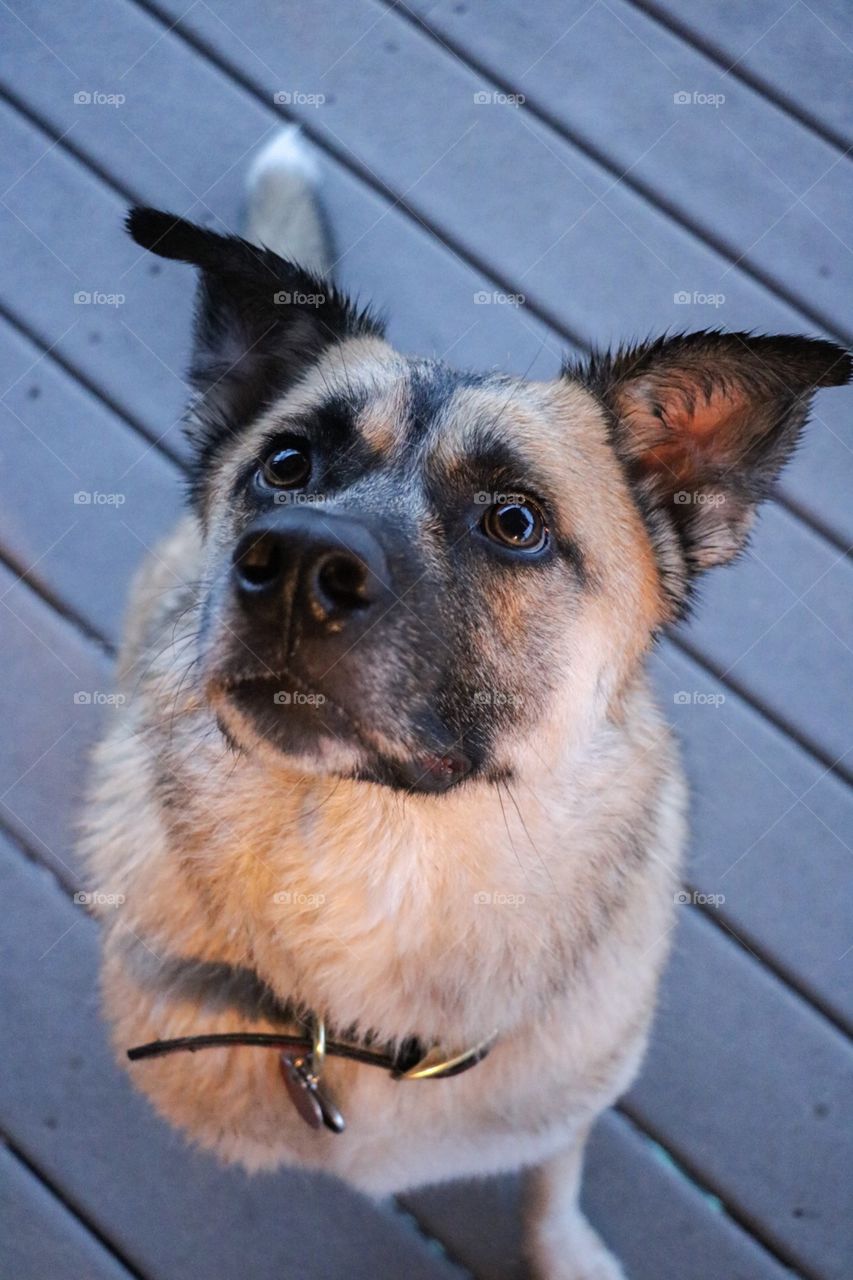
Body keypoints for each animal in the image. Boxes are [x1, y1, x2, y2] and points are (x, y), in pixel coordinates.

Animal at [78, 122, 845, 1280]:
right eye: (287, 462)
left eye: (514, 521)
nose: (294, 564)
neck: (377, 851)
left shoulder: (565, 1106)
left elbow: (552, 1177)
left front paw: (565, 1252)